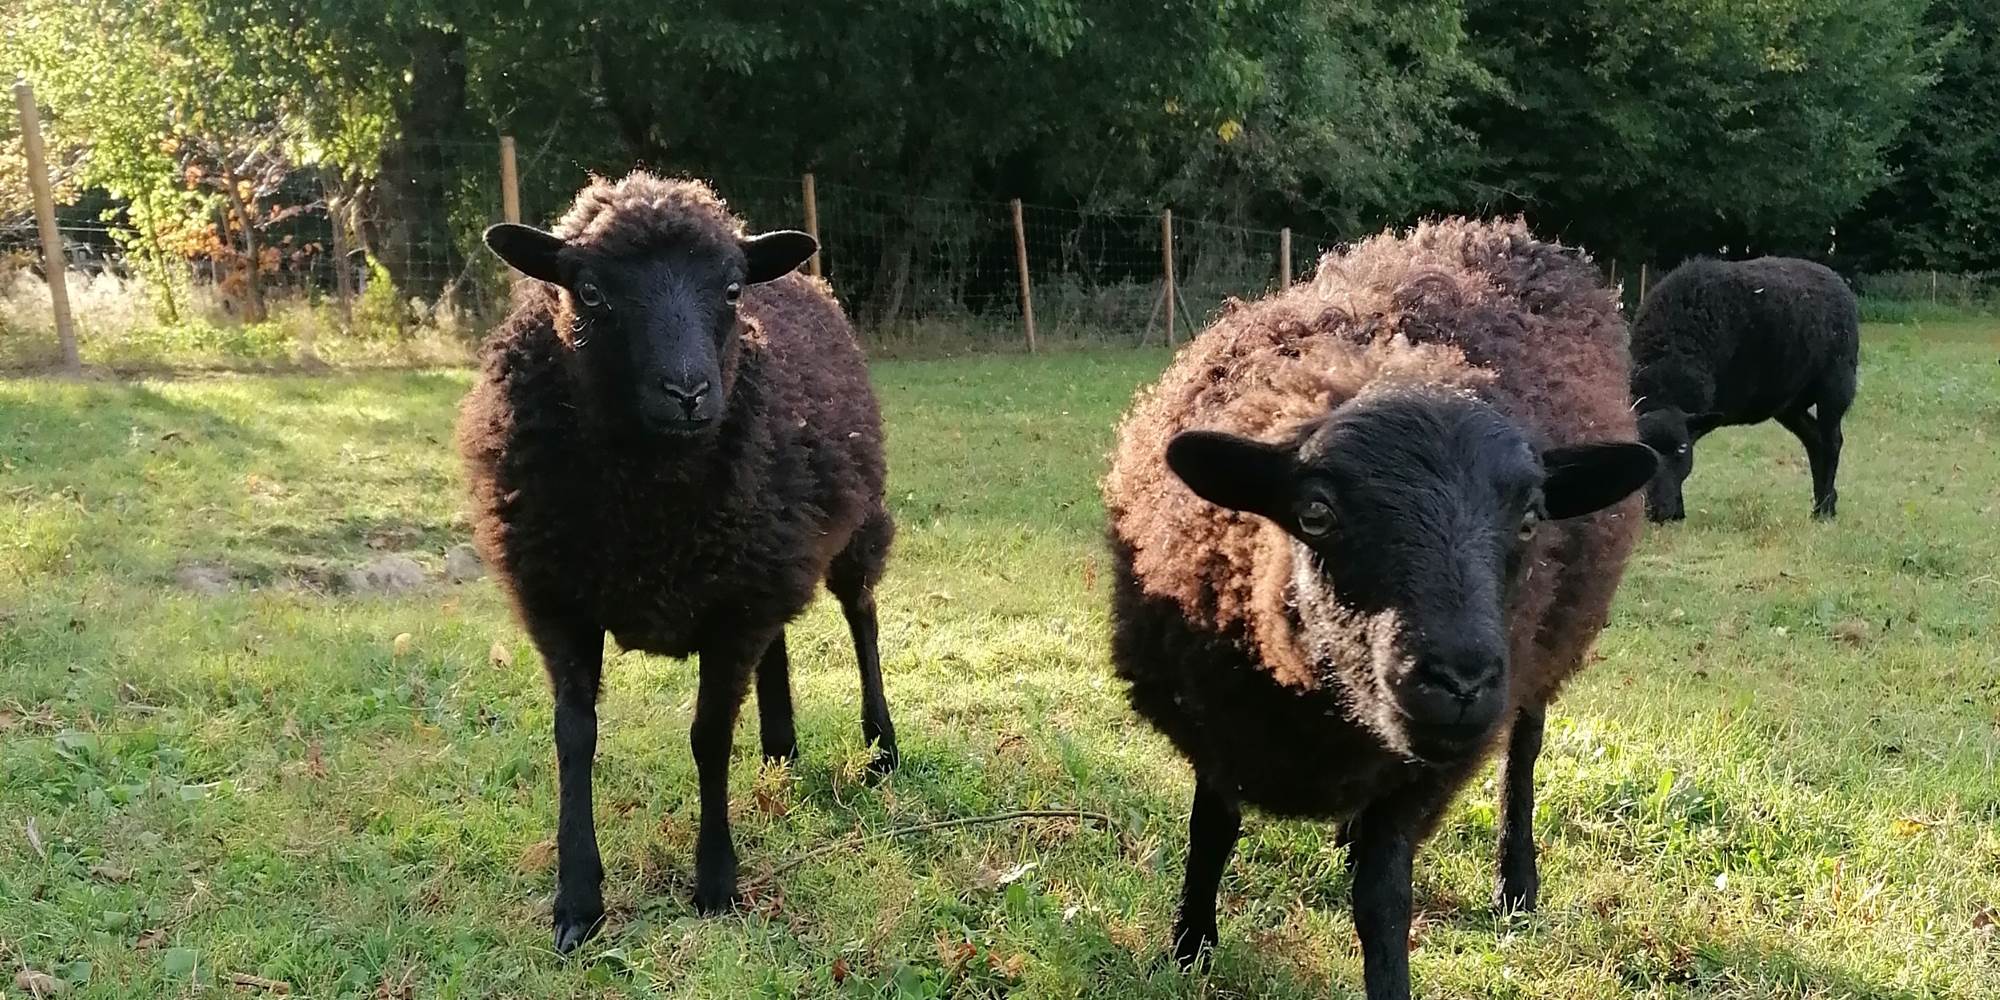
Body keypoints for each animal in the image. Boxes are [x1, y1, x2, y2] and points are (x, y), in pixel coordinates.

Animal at [457, 172, 899, 952]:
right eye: (590, 291)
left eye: (730, 289)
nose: (689, 393)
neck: (646, 511)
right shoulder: (561, 600)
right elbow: (574, 737)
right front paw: (577, 901)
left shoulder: (734, 605)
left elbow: (708, 736)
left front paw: (716, 881)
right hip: (764, 546)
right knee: (779, 645)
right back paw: (780, 746)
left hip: (842, 528)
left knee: (862, 616)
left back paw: (880, 745)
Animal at [1102, 218, 1658, 1000]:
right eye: (1315, 512)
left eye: (1530, 519)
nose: (1458, 681)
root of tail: (1504, 232)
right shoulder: (1213, 716)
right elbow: (1210, 831)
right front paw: (1189, 949)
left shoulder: (1425, 774)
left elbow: (1383, 896)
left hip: (1543, 659)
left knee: (1524, 751)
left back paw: (1516, 883)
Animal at [1629, 256, 1860, 521]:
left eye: (1681, 448)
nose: (1660, 512)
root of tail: (1834, 277)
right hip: (1788, 402)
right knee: (1814, 439)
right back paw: (1825, 504)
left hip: (1835, 384)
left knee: (1832, 442)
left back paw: (1824, 512)